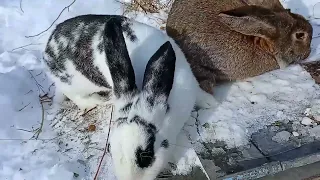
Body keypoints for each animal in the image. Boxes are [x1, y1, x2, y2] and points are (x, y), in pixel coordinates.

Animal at [43, 15, 216, 180]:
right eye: (109, 149)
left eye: (145, 155)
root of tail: (47, 50)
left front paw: (211, 103)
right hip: (74, 85)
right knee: (78, 98)